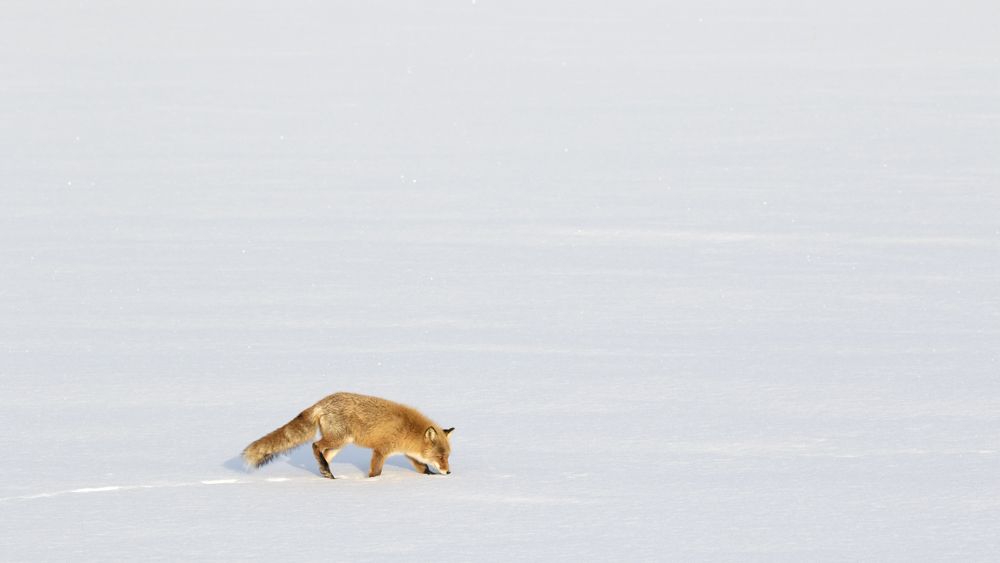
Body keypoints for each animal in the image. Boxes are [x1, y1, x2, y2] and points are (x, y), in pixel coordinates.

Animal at [242, 392, 453, 479]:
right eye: (440, 457)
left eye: (447, 457)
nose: (449, 472)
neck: (407, 429)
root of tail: (322, 402)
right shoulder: (381, 450)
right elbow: (376, 472)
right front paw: (372, 481)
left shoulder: (408, 454)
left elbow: (423, 468)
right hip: (339, 439)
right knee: (315, 446)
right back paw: (327, 472)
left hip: (338, 445)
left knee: (322, 455)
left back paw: (325, 473)